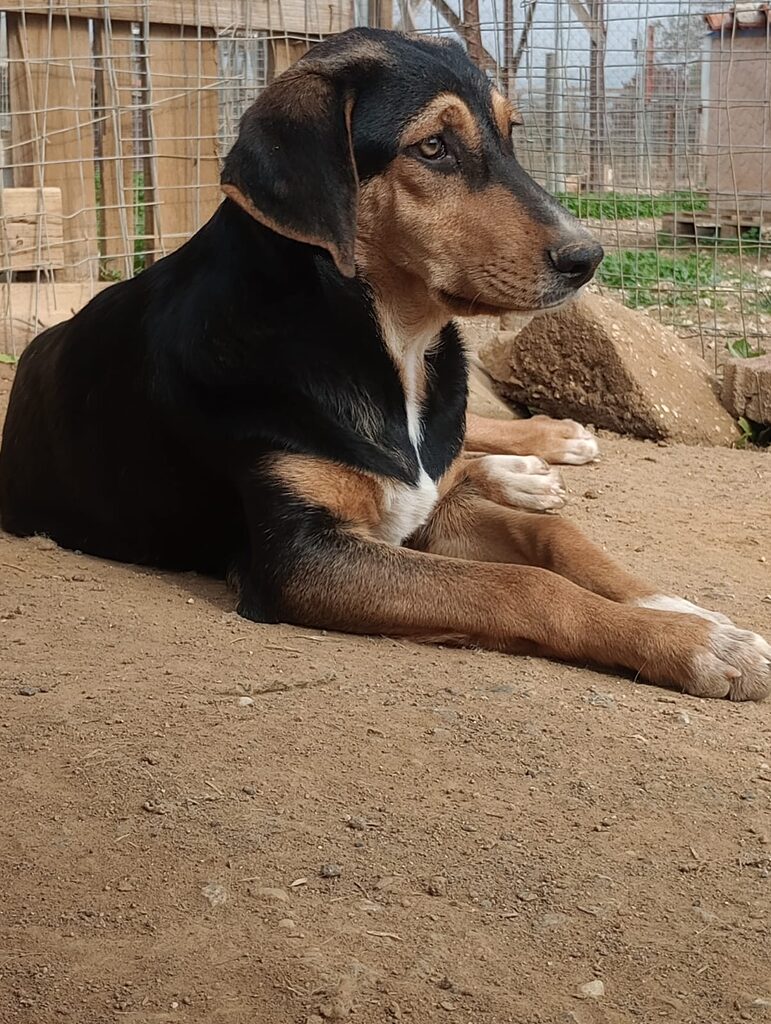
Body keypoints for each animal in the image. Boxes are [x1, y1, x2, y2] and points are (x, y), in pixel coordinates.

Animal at [1, 28, 768, 700]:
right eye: (432, 147)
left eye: (510, 135)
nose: (588, 258)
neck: (386, 344)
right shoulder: (301, 559)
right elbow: (525, 585)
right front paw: (694, 645)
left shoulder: (427, 510)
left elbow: (557, 538)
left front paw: (683, 612)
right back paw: (522, 469)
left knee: (468, 448)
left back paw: (542, 447)